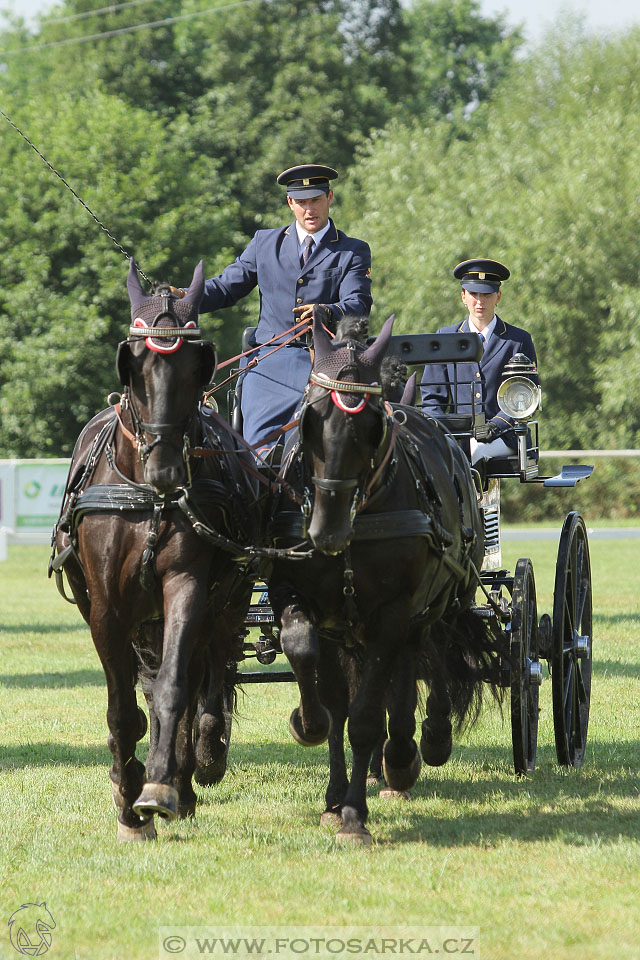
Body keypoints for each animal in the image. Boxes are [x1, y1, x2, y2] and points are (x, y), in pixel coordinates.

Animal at [50, 262, 260, 840]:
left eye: (195, 366)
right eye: (134, 365)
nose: (166, 470)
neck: (147, 496)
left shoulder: (186, 586)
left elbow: (172, 688)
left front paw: (162, 786)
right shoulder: (108, 608)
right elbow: (124, 708)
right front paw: (128, 802)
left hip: (226, 603)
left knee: (205, 675)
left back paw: (195, 766)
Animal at [268, 312, 502, 844]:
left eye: (372, 425)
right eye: (308, 418)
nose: (326, 531)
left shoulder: (394, 612)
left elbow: (367, 717)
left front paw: (355, 814)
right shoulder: (305, 600)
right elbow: (317, 677)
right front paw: (315, 742)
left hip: (441, 599)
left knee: (430, 658)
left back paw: (416, 748)